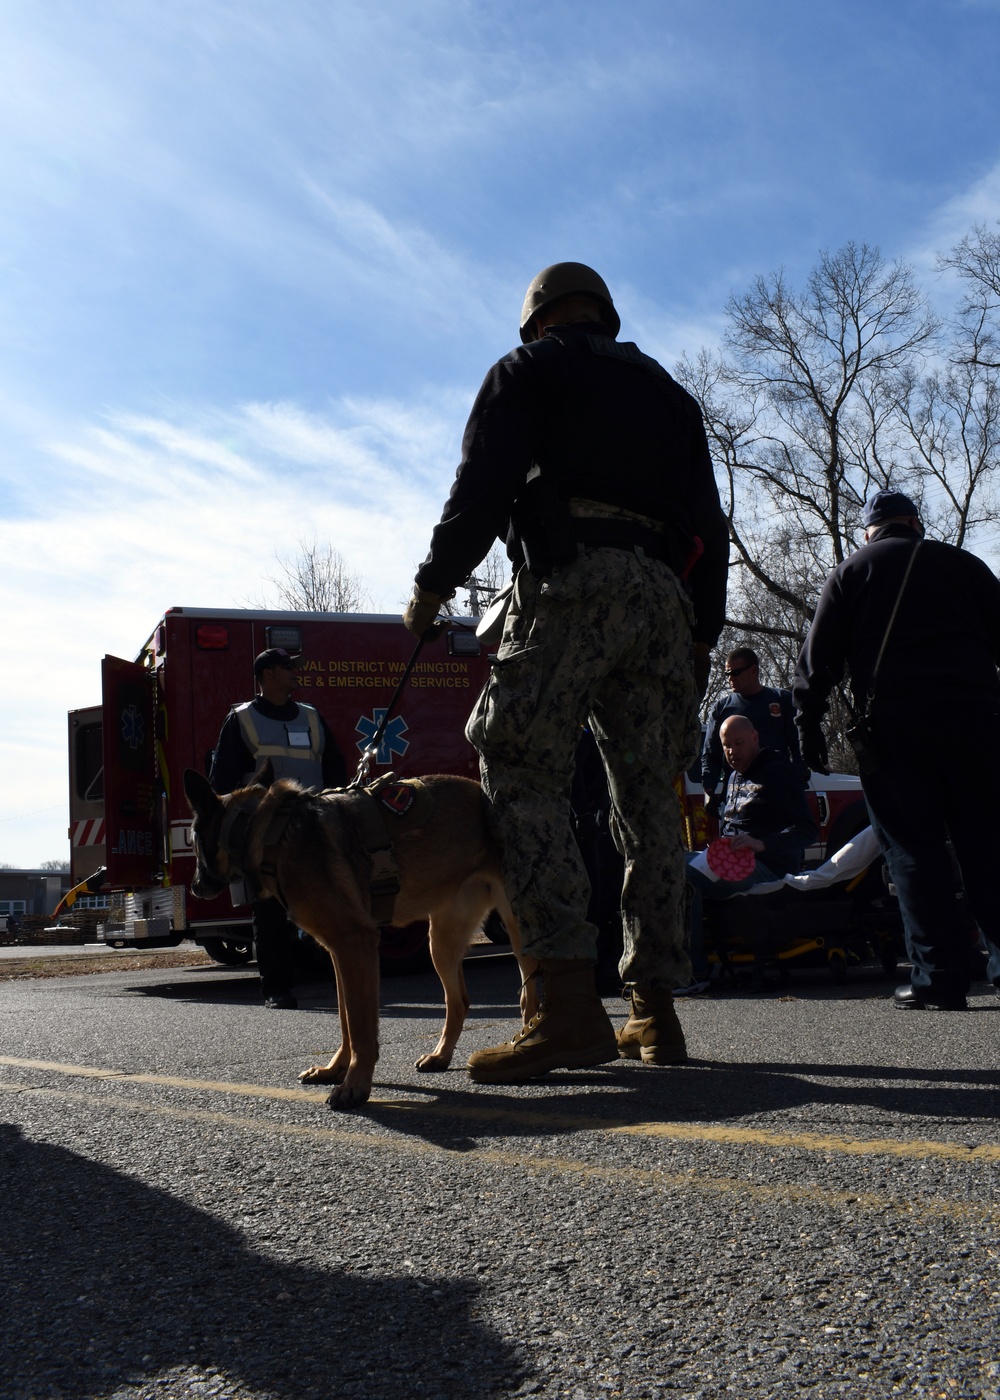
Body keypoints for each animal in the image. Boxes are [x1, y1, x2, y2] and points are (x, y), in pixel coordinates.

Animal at [187, 767, 529, 1103]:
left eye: (193, 841)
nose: (194, 887)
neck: (272, 832)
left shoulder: (356, 945)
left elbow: (361, 1027)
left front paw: (355, 1085)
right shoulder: (340, 954)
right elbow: (345, 1021)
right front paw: (334, 1070)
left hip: (518, 928)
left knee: (529, 989)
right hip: (442, 943)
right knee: (461, 1001)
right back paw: (442, 1056)